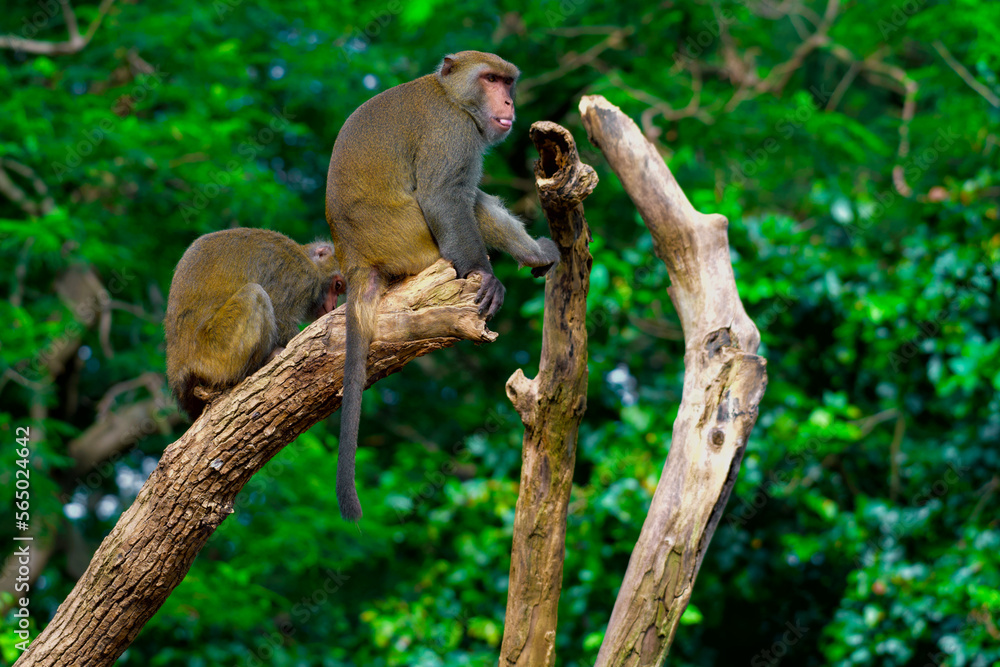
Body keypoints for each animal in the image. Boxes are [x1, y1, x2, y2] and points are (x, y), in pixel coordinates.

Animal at [165, 227, 346, 420]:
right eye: (338, 285)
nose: (333, 305)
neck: (307, 258)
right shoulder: (301, 277)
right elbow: (281, 317)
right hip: (215, 354)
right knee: (255, 294)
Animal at [325, 51, 560, 521]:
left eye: (507, 81)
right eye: (490, 80)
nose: (508, 102)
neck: (451, 96)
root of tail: (355, 258)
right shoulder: (453, 132)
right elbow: (446, 197)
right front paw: (486, 276)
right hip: (412, 241)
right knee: (468, 201)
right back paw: (531, 255)